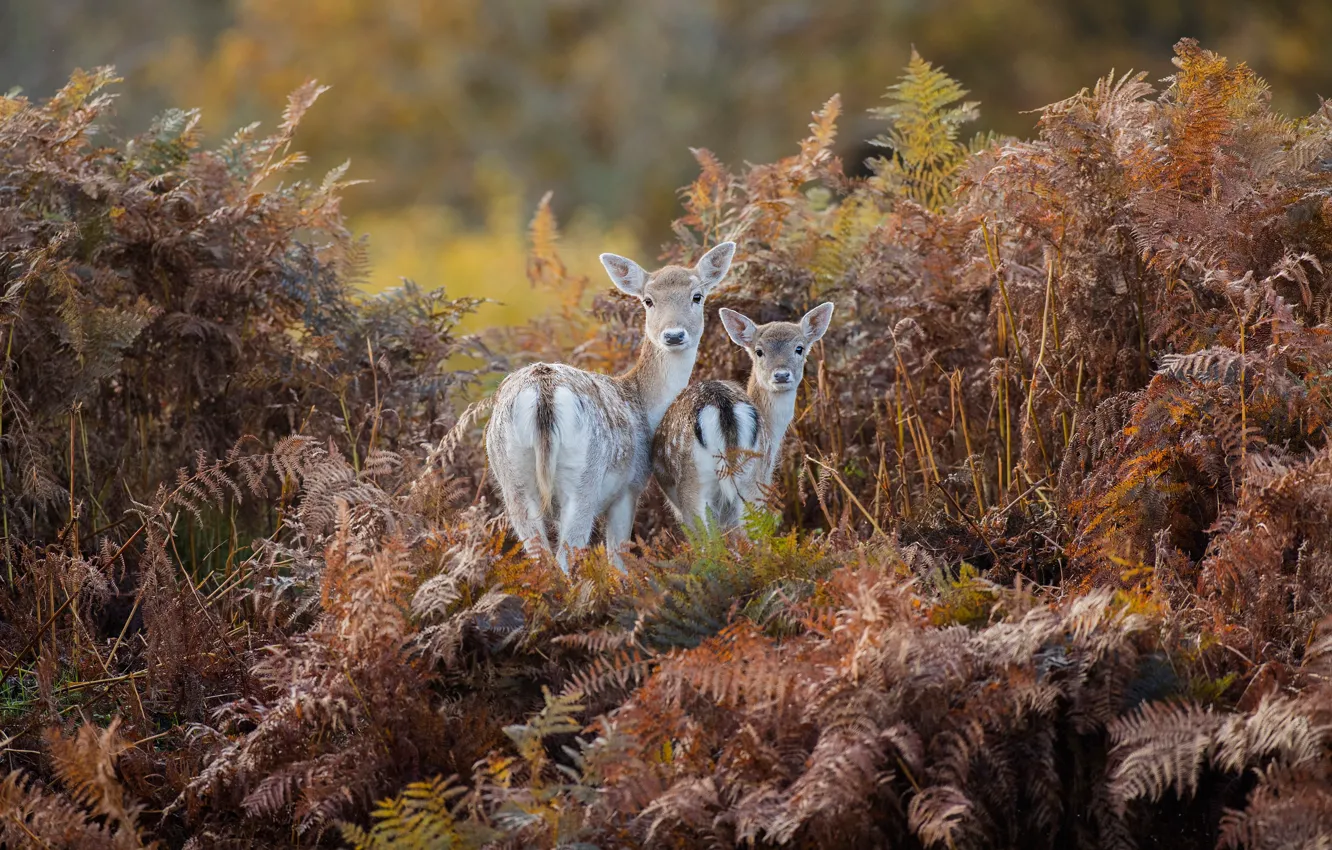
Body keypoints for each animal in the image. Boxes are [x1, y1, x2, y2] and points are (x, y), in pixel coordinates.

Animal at [485, 242, 737, 571]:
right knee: (566, 556)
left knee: (541, 558)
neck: (643, 405)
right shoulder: (630, 487)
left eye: (697, 296)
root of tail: (542, 392)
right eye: (648, 300)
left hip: (511, 475)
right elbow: (617, 560)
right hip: (583, 477)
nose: (673, 335)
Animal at [652, 302, 834, 535]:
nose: (781, 375)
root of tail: (722, 406)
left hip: (699, 484)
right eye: (759, 351)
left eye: (799, 348)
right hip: (745, 477)